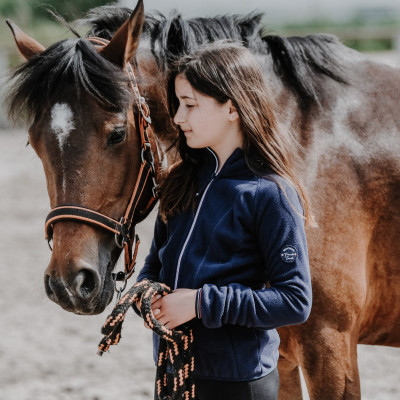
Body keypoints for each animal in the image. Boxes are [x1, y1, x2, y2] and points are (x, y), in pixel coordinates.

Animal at [5, 1, 400, 398]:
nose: (69, 284)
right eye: (34, 143)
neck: (302, 146)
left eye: (117, 135)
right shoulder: (282, 358)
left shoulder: (329, 346)